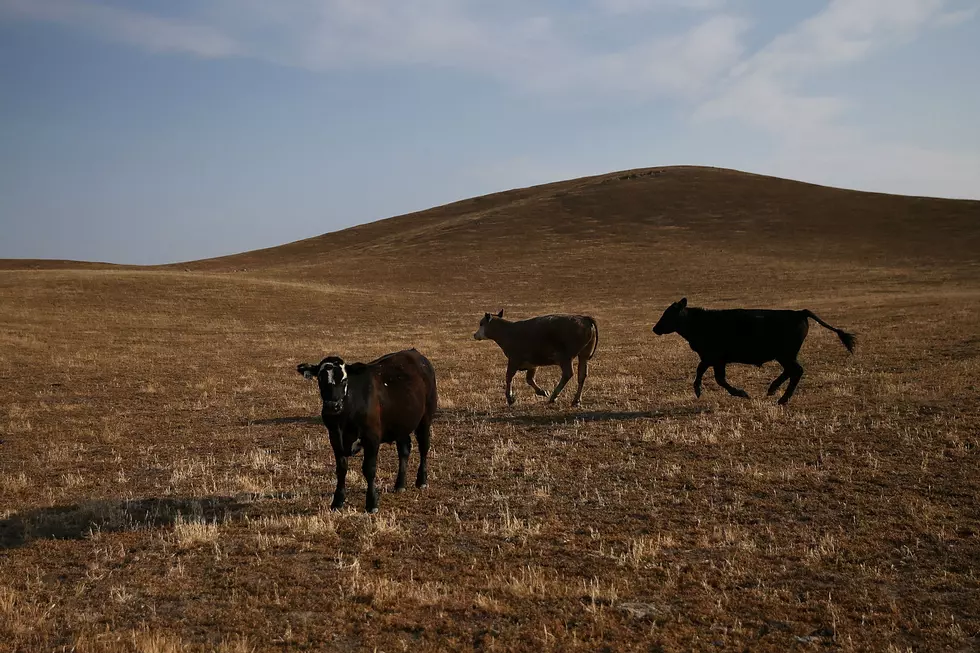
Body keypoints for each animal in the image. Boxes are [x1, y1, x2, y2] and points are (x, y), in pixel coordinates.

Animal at [296, 348, 438, 512]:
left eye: (344, 380)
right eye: (320, 379)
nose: (332, 406)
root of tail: (415, 353)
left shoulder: (372, 438)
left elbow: (369, 469)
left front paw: (372, 503)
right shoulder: (335, 438)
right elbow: (341, 469)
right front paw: (338, 501)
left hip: (425, 419)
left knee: (424, 447)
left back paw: (422, 480)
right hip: (400, 424)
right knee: (404, 450)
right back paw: (400, 484)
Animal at [472, 308, 600, 404]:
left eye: (481, 324)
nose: (475, 335)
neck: (507, 332)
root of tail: (584, 318)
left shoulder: (513, 360)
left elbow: (509, 377)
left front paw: (510, 398)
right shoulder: (532, 364)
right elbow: (530, 379)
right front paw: (542, 392)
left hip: (565, 358)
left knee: (568, 374)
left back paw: (553, 397)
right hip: (584, 355)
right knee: (581, 375)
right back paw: (576, 400)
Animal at [656, 300, 852, 402]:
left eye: (668, 314)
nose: (655, 328)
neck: (699, 321)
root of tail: (799, 312)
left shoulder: (714, 358)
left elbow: (716, 377)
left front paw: (741, 393)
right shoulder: (712, 358)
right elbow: (705, 372)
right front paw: (699, 390)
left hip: (786, 355)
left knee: (796, 371)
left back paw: (782, 399)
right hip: (785, 356)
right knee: (791, 371)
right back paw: (773, 389)